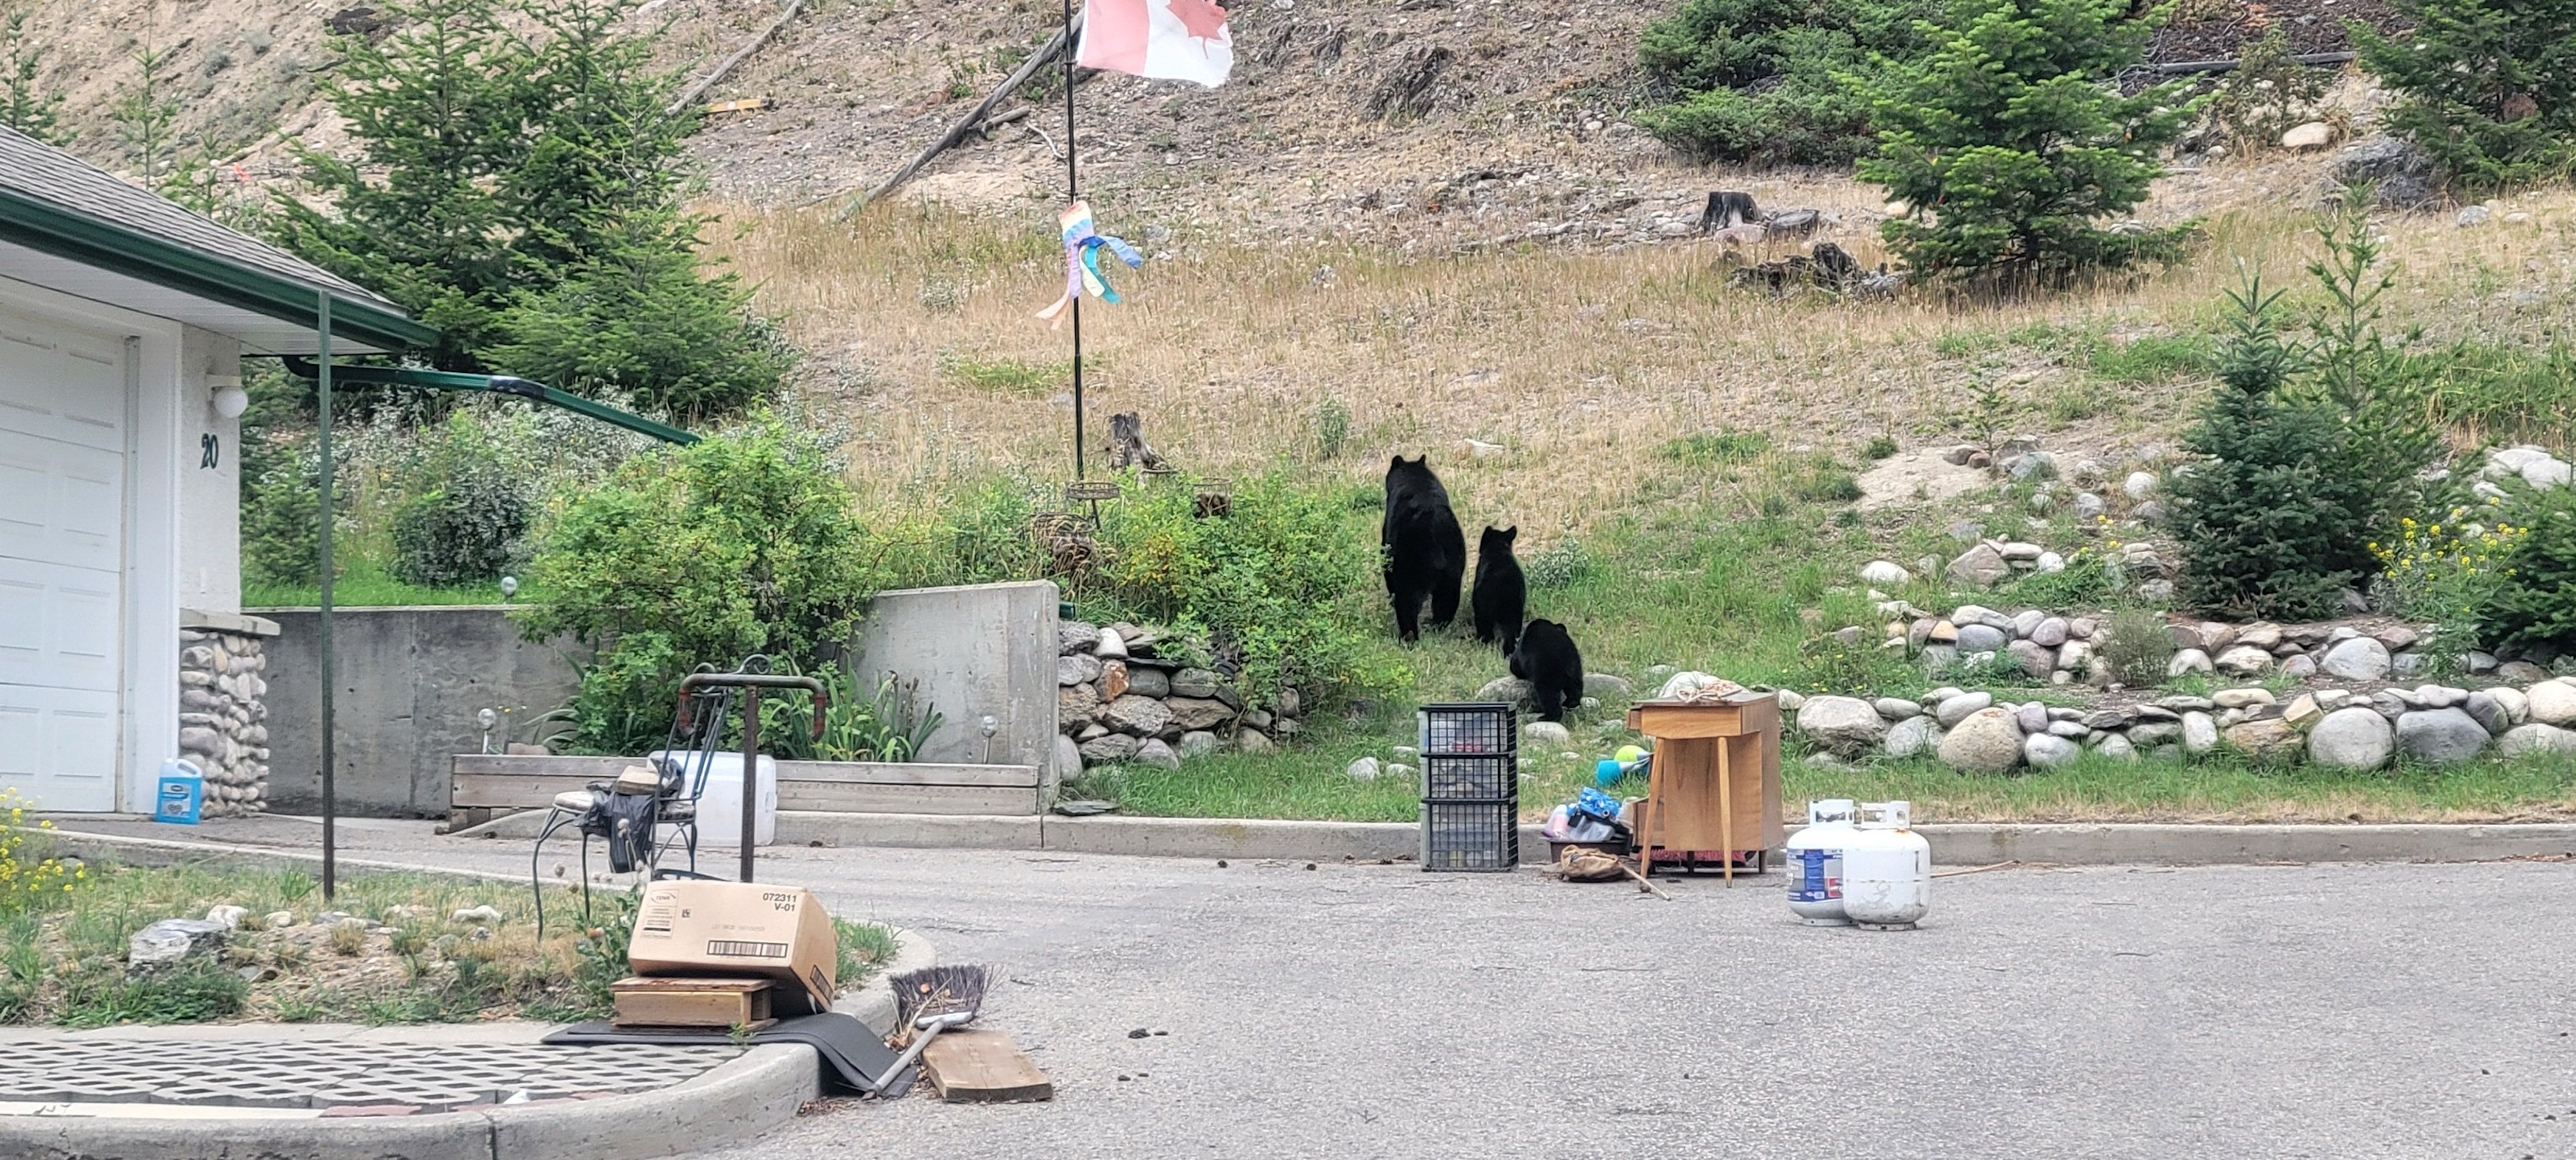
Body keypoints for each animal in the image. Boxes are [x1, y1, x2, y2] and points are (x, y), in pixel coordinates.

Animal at [1381, 455, 1466, 643]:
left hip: (1409, 563)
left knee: (1406, 602)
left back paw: (1409, 637)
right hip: (1454, 562)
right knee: (1447, 599)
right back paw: (1436, 625)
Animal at [1509, 618, 1584, 723]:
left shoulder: (1523, 654)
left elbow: (1516, 666)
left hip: (1548, 673)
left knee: (1547, 694)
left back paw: (1547, 717)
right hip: (1575, 669)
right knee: (1575, 687)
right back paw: (1570, 703)